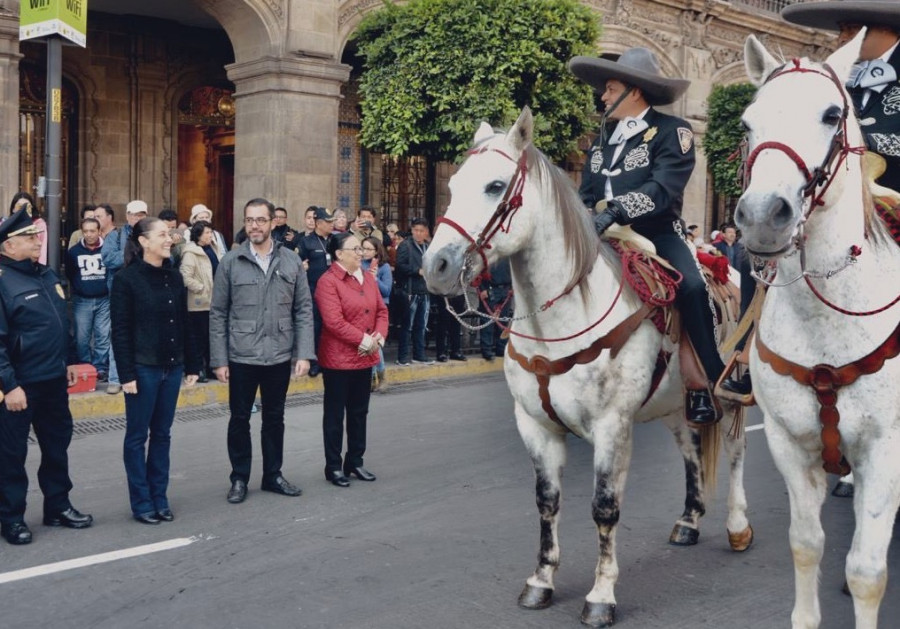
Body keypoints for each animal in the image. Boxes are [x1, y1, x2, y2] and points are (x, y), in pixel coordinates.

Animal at [422, 109, 752, 628]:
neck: (559, 318)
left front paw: (601, 595)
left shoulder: (612, 426)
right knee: (691, 450)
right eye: (453, 184)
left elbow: (604, 507)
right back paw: (689, 520)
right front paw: (541, 580)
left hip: (727, 394)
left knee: (737, 452)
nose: (435, 266)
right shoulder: (535, 425)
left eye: (495, 186)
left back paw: (738, 527)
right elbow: (547, 500)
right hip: (678, 403)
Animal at [740, 34, 900, 628]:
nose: (763, 216)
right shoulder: (789, 444)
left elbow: (866, 572)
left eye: (833, 115)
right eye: (747, 122)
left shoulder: (887, 451)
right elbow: (806, 544)